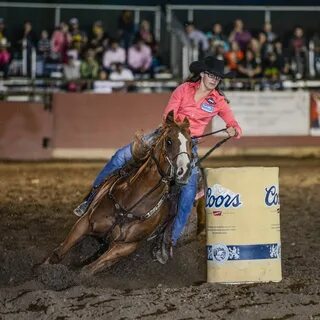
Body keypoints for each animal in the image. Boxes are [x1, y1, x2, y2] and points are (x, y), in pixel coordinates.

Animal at [45, 111, 192, 274]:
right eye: (169, 141)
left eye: (190, 143)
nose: (184, 172)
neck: (131, 204)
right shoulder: (85, 223)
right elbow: (59, 253)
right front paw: (43, 269)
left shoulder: (126, 245)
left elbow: (89, 269)